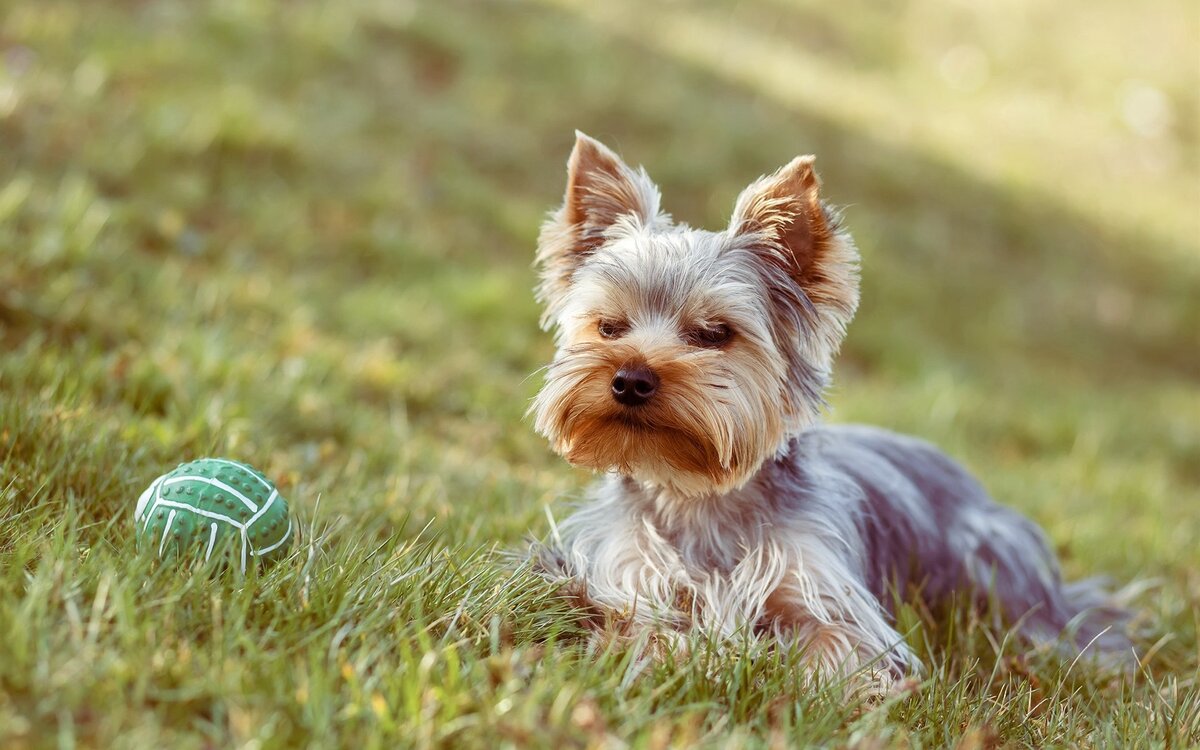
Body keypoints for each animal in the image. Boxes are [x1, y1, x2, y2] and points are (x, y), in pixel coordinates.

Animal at [528, 131, 1132, 691]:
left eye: (714, 333)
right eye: (610, 327)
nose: (630, 379)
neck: (697, 494)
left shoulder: (830, 595)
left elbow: (836, 645)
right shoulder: (624, 573)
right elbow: (639, 626)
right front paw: (691, 657)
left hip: (990, 557)